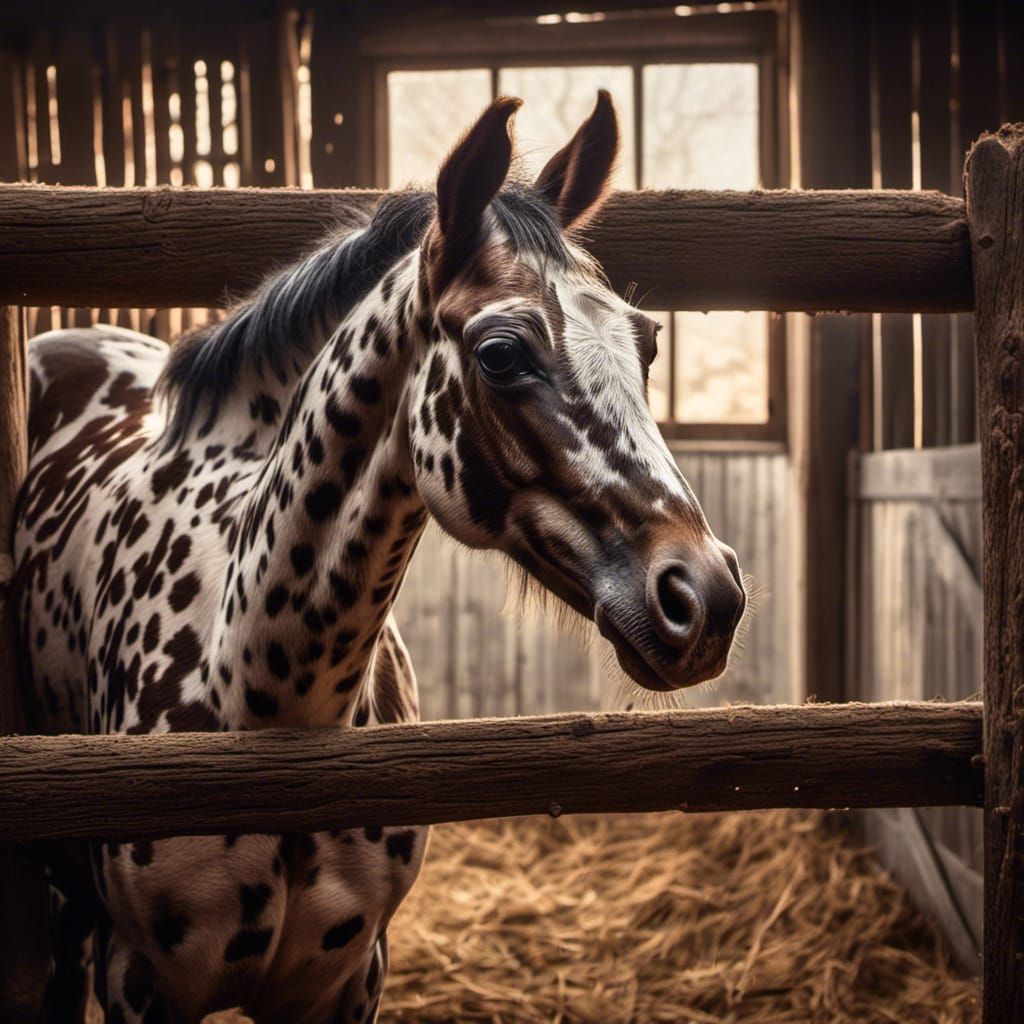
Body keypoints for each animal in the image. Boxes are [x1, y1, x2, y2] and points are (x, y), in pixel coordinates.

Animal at [13, 91, 745, 1023]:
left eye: (646, 343)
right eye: (501, 354)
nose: (706, 596)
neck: (268, 697)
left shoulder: (346, 983)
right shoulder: (140, 983)